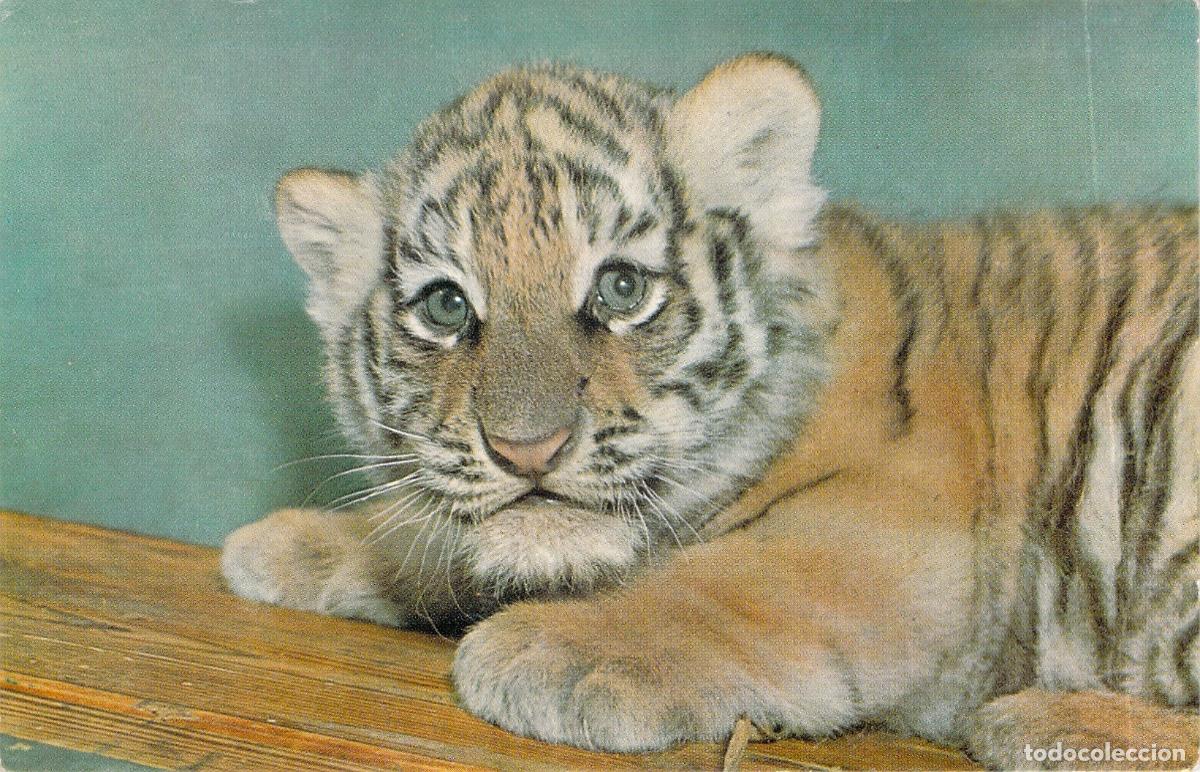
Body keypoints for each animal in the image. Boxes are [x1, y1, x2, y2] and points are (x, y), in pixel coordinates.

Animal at [220, 53, 1199, 769]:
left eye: (620, 288)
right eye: (447, 307)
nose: (528, 449)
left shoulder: (889, 533)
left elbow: (720, 584)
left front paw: (551, 649)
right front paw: (294, 541)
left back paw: (1051, 724)